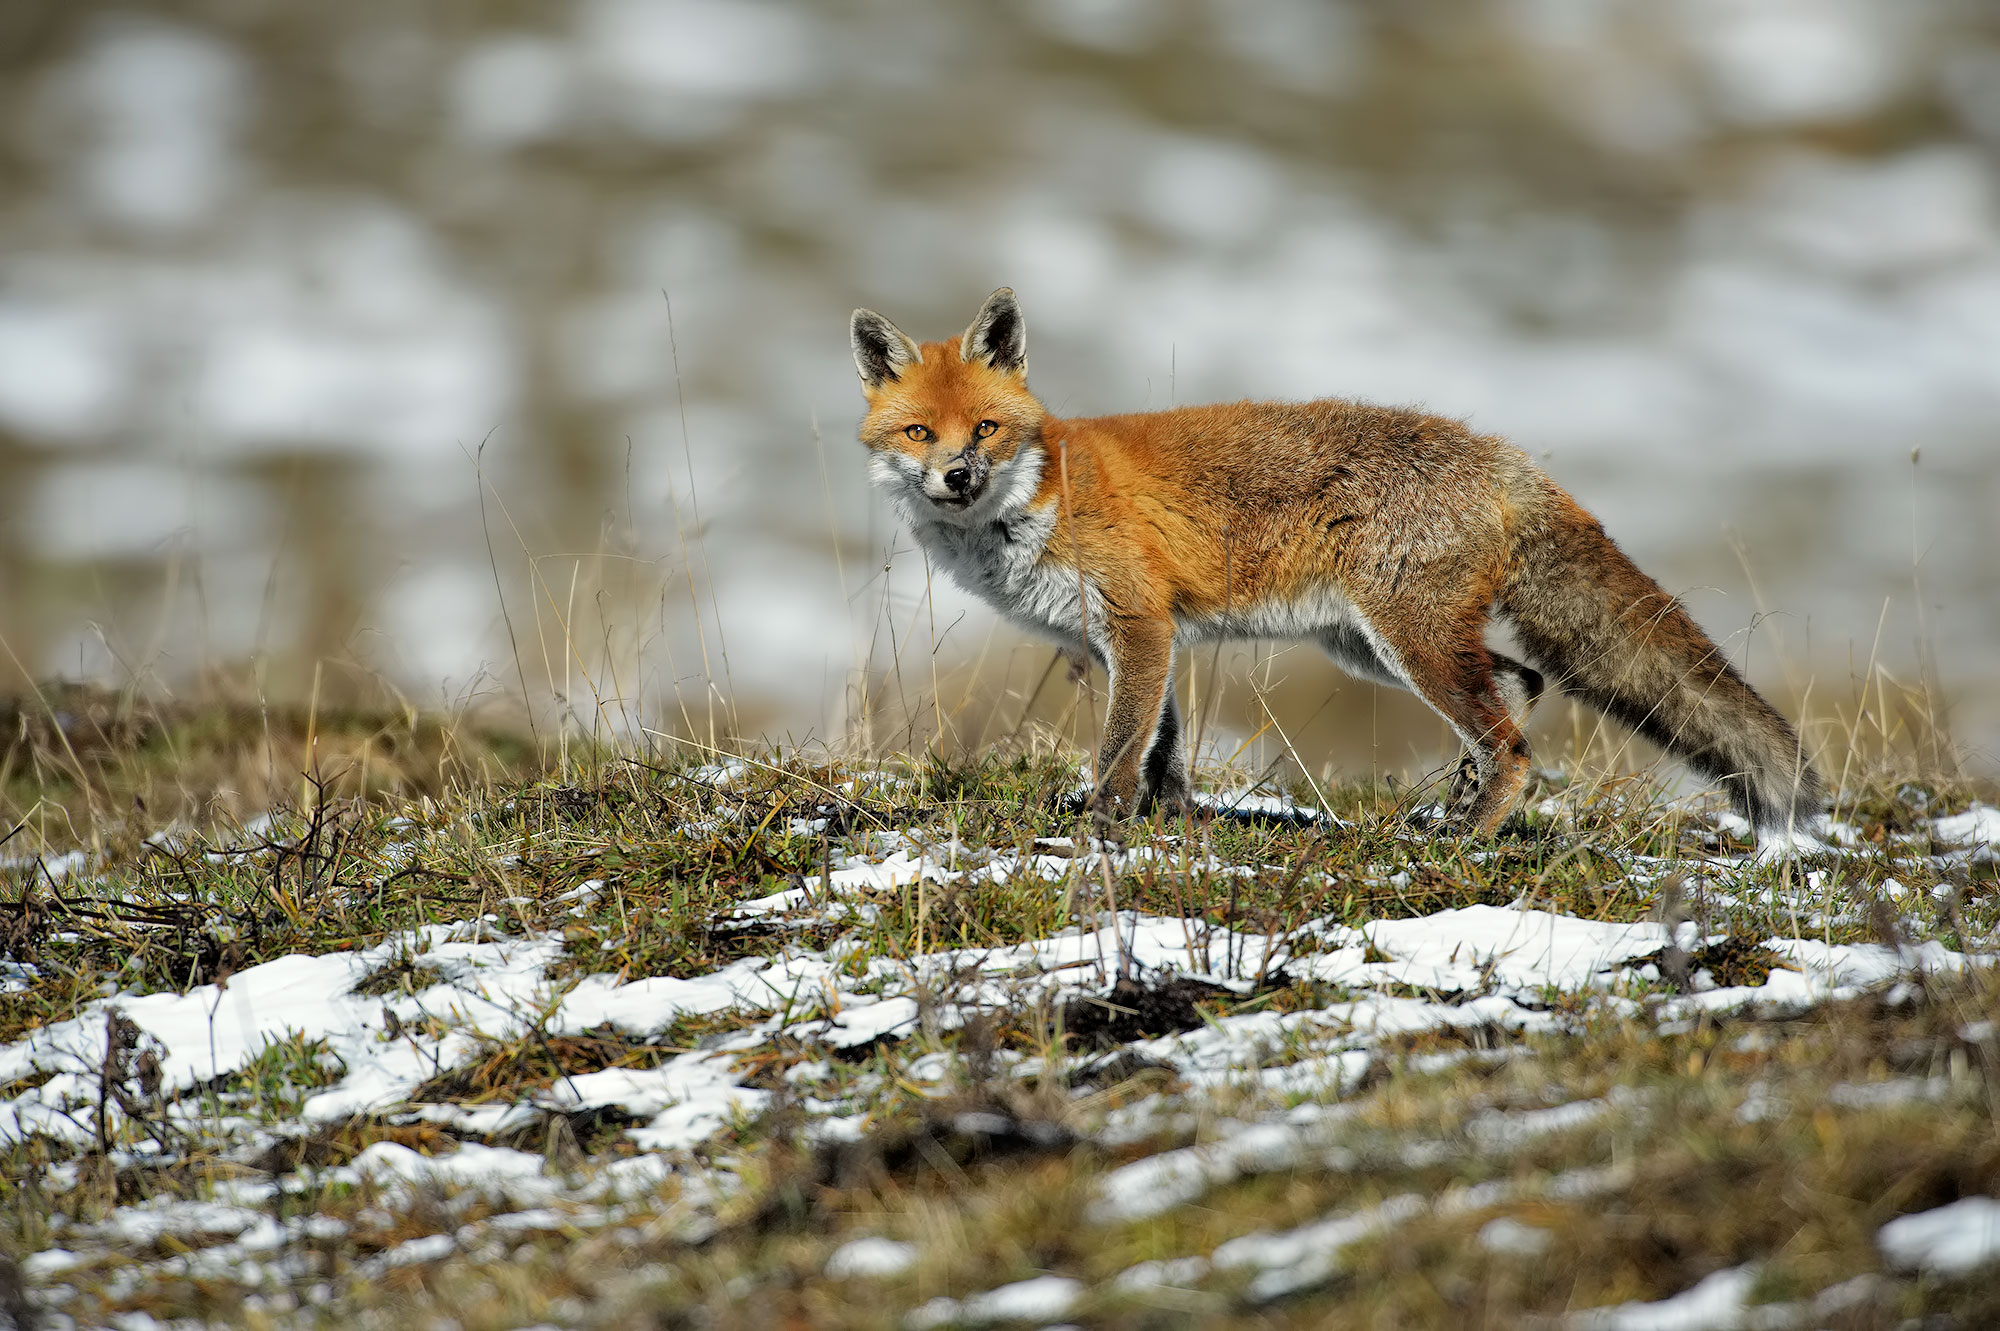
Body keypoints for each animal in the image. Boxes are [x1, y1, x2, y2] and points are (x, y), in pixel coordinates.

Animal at [849, 287, 1823, 841]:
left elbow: (1124, 749)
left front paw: (1109, 827)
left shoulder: (1140, 625)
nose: (958, 475)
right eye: (919, 432)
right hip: (1372, 646)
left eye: (985, 427)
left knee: (1513, 743)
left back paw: (1465, 834)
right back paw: (1458, 801)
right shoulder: (1146, 641)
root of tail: (1498, 453)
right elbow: (1165, 750)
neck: (1037, 495)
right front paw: (1174, 823)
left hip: (1407, 642)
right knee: (1522, 684)